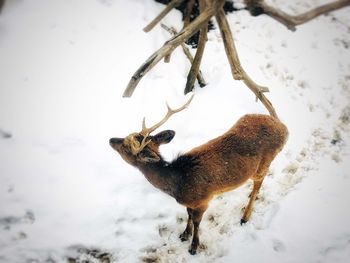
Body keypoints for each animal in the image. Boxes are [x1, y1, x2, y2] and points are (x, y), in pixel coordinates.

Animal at [109, 95, 288, 256]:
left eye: (125, 147)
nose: (111, 139)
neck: (178, 183)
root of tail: (284, 128)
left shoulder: (203, 200)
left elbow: (196, 221)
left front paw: (193, 247)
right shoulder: (191, 202)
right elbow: (188, 214)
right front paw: (184, 234)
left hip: (265, 162)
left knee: (259, 182)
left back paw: (245, 216)